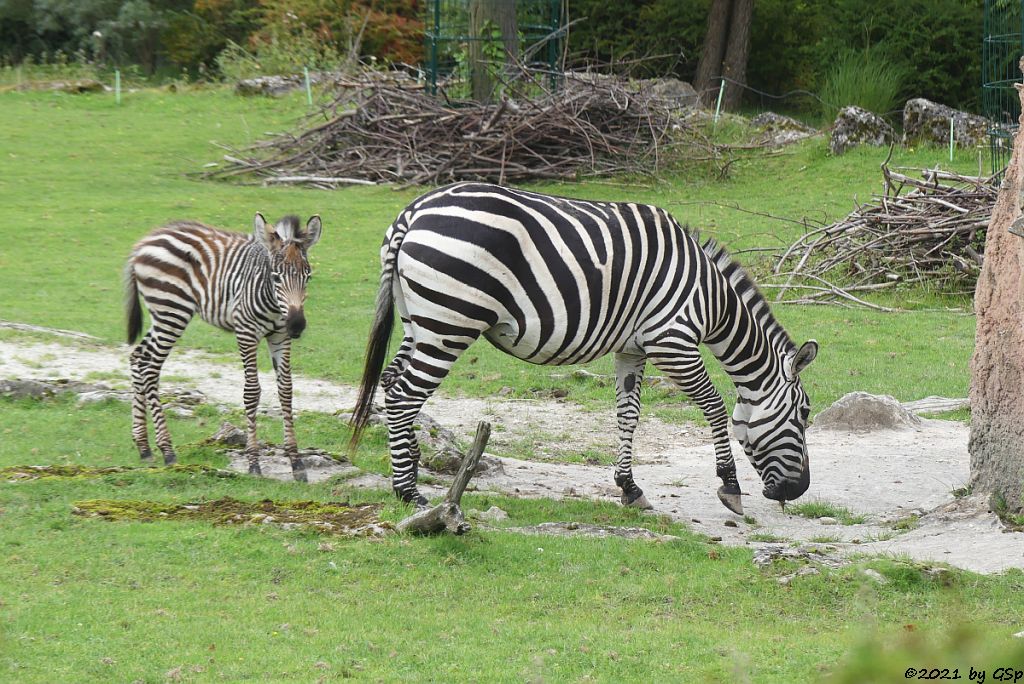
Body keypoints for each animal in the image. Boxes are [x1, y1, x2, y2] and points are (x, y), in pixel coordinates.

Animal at [125, 214, 321, 481]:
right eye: (275, 277)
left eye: (307, 277)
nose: (297, 325)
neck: (272, 301)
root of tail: (145, 241)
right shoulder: (246, 332)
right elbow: (252, 392)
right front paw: (253, 463)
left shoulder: (280, 336)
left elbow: (286, 391)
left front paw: (296, 462)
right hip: (172, 310)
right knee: (151, 367)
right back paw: (167, 450)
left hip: (162, 314)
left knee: (138, 358)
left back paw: (144, 447)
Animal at [352, 181, 815, 511]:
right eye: (805, 415)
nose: (798, 491)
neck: (712, 299)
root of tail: (411, 213)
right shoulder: (672, 341)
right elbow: (716, 408)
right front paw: (730, 486)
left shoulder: (633, 348)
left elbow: (628, 415)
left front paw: (629, 488)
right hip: (451, 322)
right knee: (404, 396)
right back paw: (408, 492)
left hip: (419, 320)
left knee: (392, 385)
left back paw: (409, 465)